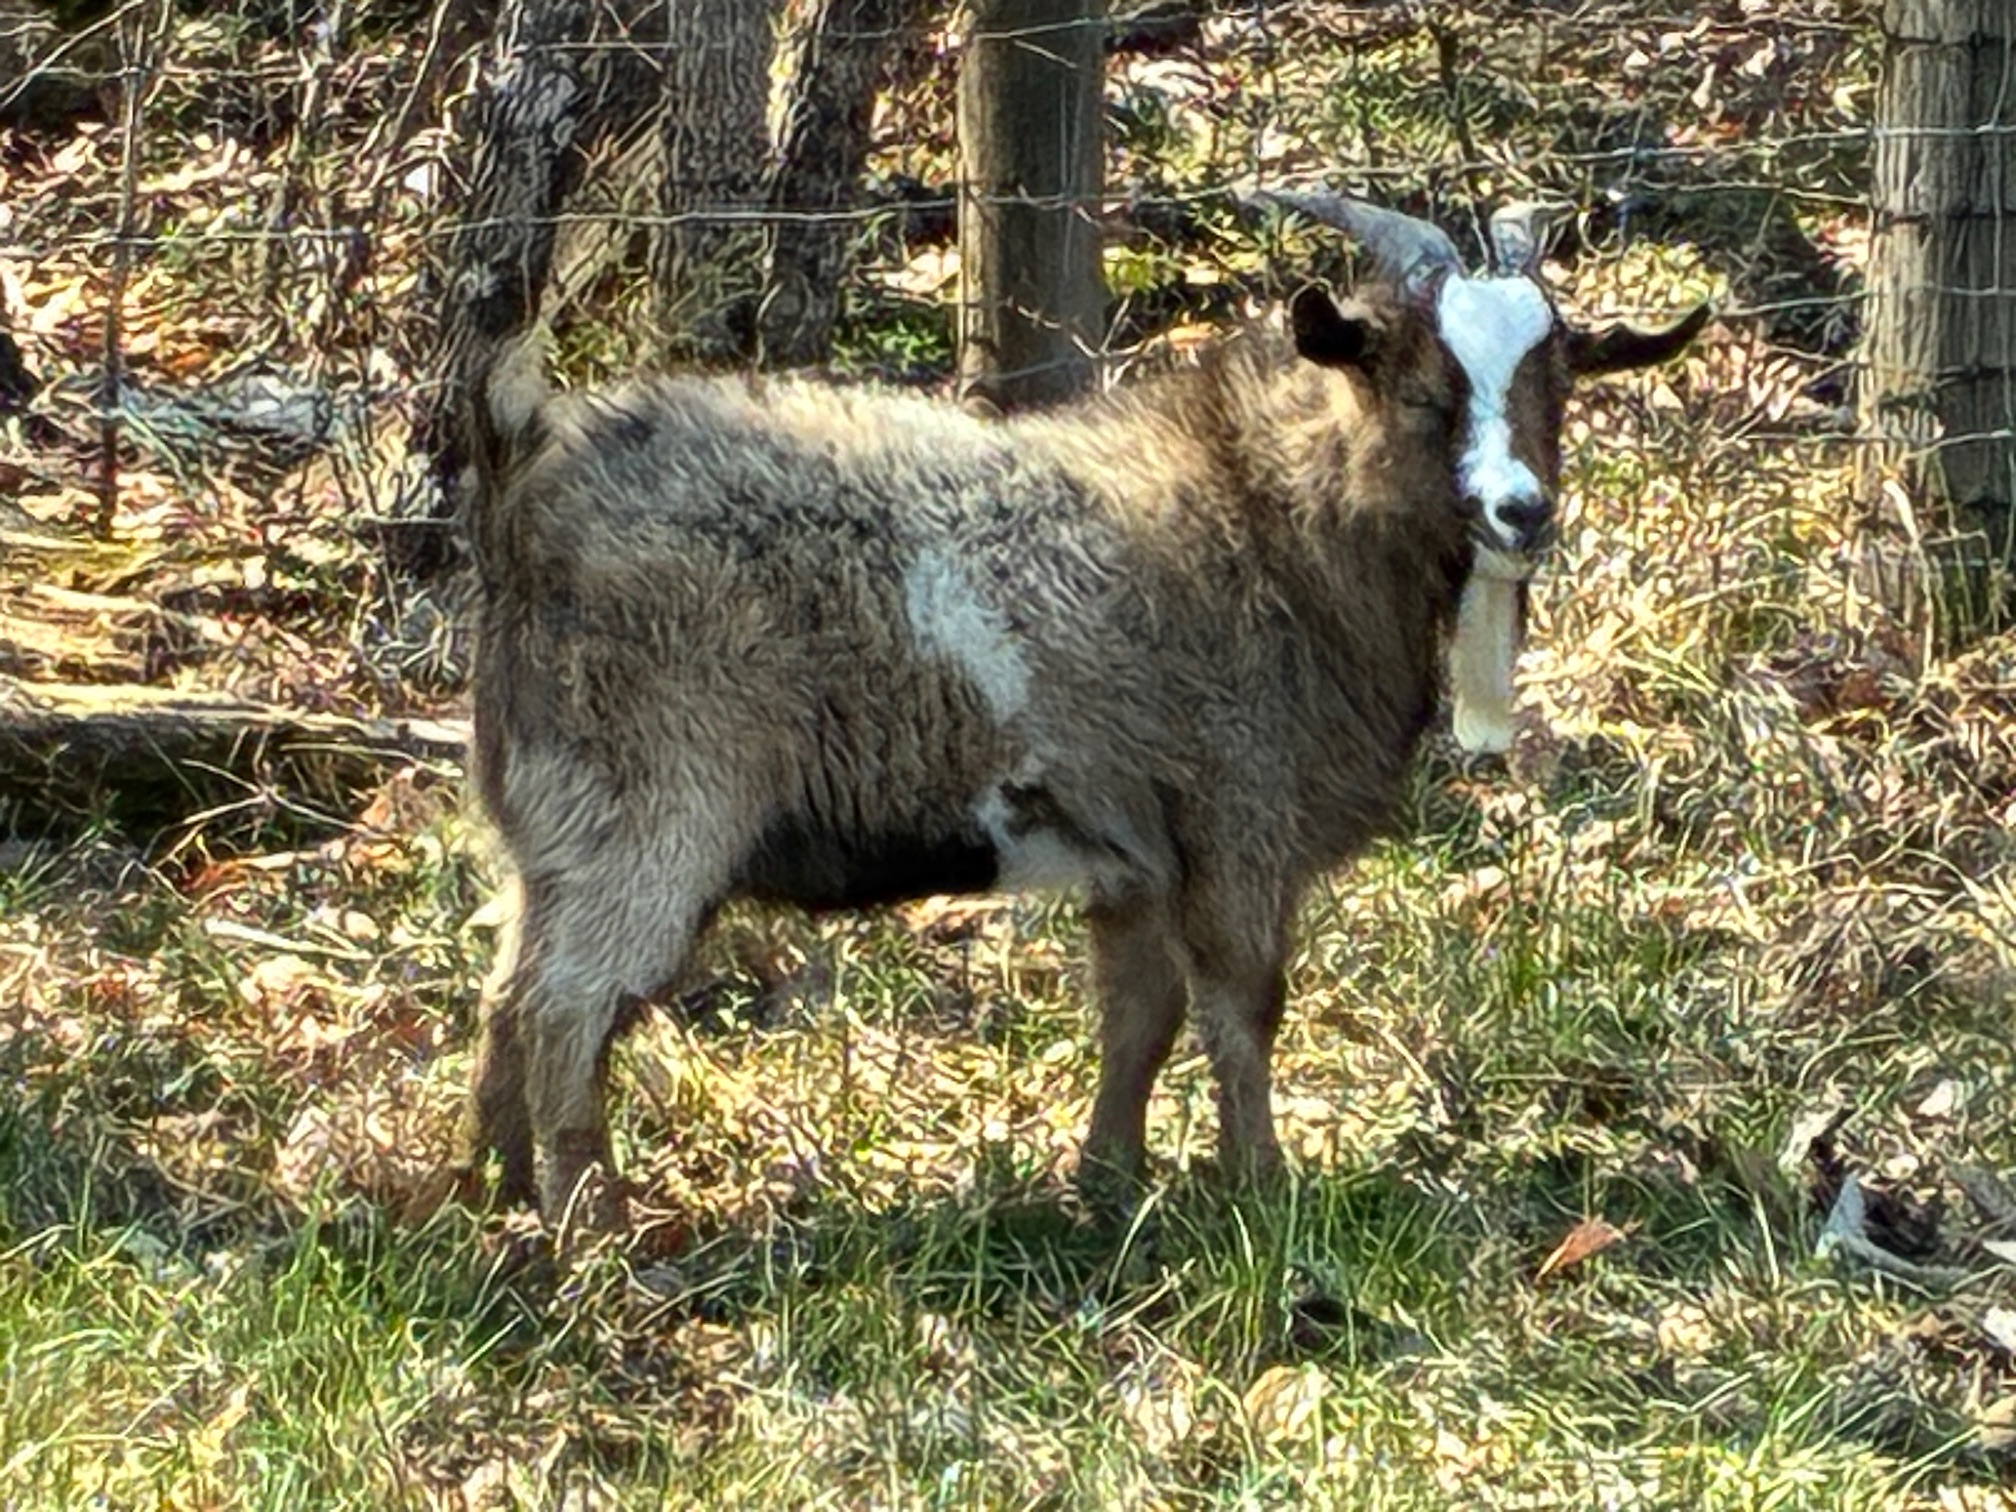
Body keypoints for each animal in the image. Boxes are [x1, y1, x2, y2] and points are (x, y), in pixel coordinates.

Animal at [458, 194, 1708, 1223]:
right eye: (1420, 390)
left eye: (1558, 388)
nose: (1521, 510)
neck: (1261, 514)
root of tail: (532, 474)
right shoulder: (1236, 817)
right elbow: (1243, 1004)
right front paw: (1261, 1191)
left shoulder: (1135, 851)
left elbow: (1140, 1015)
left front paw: (1108, 1183)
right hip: (653, 805)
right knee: (568, 1003)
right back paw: (596, 1234)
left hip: (553, 821)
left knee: (509, 987)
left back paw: (492, 1198)